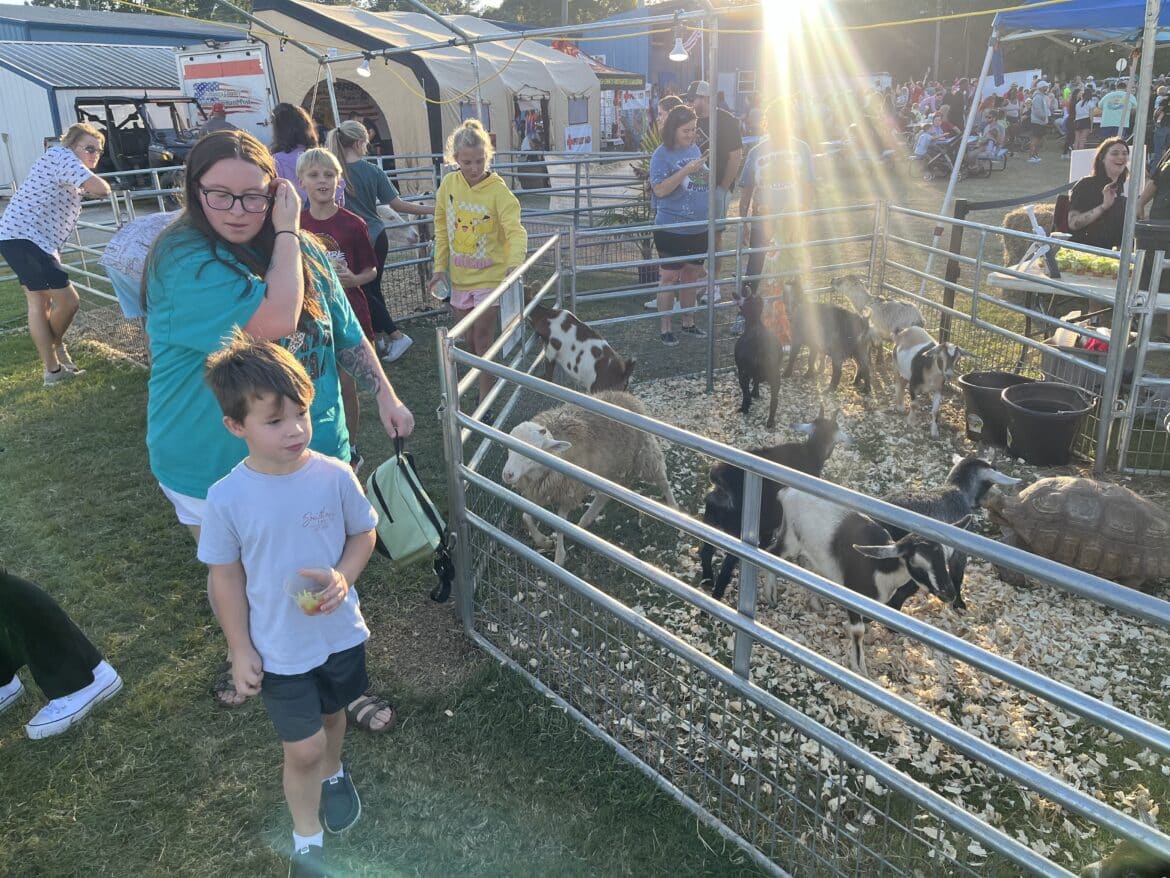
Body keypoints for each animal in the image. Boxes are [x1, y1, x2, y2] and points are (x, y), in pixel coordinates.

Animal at [500, 390, 676, 565]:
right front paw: (543, 541)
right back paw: (584, 522)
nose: (507, 474)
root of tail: (623, 394)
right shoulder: (541, 491)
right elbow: (526, 516)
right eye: (509, 447)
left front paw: (559, 556)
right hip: (608, 467)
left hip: (644, 453)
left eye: (534, 450)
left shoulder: (569, 493)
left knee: (662, 479)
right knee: (603, 496)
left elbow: (559, 523)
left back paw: (673, 507)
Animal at [699, 407, 850, 600]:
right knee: (726, 569)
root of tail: (722, 483)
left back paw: (707, 581)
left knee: (706, 552)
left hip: (711, 520)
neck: (810, 453)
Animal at [733, 294, 786, 428]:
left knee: (745, 393)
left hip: (744, 372)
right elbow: (756, 382)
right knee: (774, 400)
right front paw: (756, 393)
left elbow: (747, 391)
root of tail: (759, 344)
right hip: (775, 375)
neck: (755, 324)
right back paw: (770, 422)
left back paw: (744, 409)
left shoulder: (742, 370)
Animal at [772, 488, 966, 676]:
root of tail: (786, 492)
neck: (880, 568)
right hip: (790, 539)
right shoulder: (851, 595)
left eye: (944, 559)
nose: (949, 594)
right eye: (916, 564)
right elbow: (858, 630)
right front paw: (859, 669)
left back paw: (815, 603)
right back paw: (771, 596)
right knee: (773, 553)